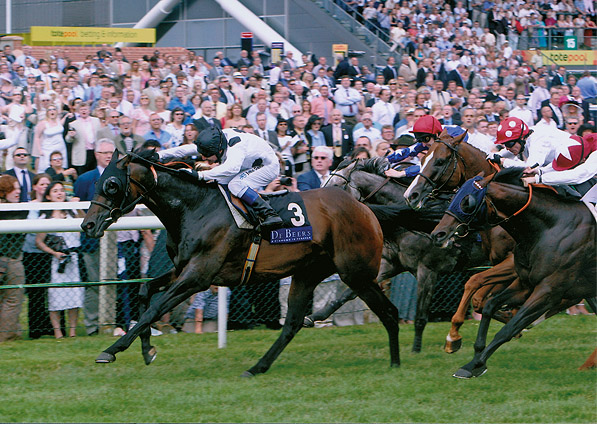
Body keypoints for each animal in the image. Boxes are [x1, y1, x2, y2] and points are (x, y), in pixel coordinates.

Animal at [80, 152, 400, 374]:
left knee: (389, 311)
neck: (195, 207)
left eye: (111, 184)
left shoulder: (198, 276)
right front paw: (147, 350)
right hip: (309, 273)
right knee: (292, 323)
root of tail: (364, 208)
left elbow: (154, 309)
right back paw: (257, 367)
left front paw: (112, 350)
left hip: (356, 273)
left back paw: (396, 362)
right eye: (96, 180)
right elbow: (145, 292)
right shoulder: (183, 269)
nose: (88, 225)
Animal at [304, 157, 486, 352]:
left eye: (337, 185)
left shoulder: (428, 269)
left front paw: (416, 350)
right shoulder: (392, 263)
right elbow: (348, 293)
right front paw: (313, 317)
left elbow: (421, 315)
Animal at [402, 132, 520, 352]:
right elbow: (480, 299)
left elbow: (475, 285)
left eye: (440, 161)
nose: (411, 195)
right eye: (422, 160)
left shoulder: (513, 262)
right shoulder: (499, 262)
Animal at [430, 167, 592, 376]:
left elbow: (504, 322)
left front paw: (467, 355)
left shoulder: (545, 288)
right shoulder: (522, 280)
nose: (437, 234)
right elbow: (486, 302)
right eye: (454, 196)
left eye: (467, 202)